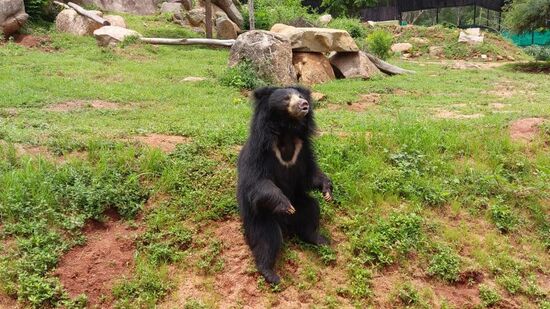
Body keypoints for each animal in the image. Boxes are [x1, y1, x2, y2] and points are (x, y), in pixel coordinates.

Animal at [236, 85, 334, 282]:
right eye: (287, 98)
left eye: (301, 96)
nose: (304, 105)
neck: (287, 131)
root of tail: (287, 224)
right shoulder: (259, 151)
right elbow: (257, 181)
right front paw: (285, 204)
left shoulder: (303, 150)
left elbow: (310, 175)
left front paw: (327, 190)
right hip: (260, 216)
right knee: (267, 238)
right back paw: (270, 273)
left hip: (301, 203)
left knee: (311, 212)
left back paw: (320, 239)